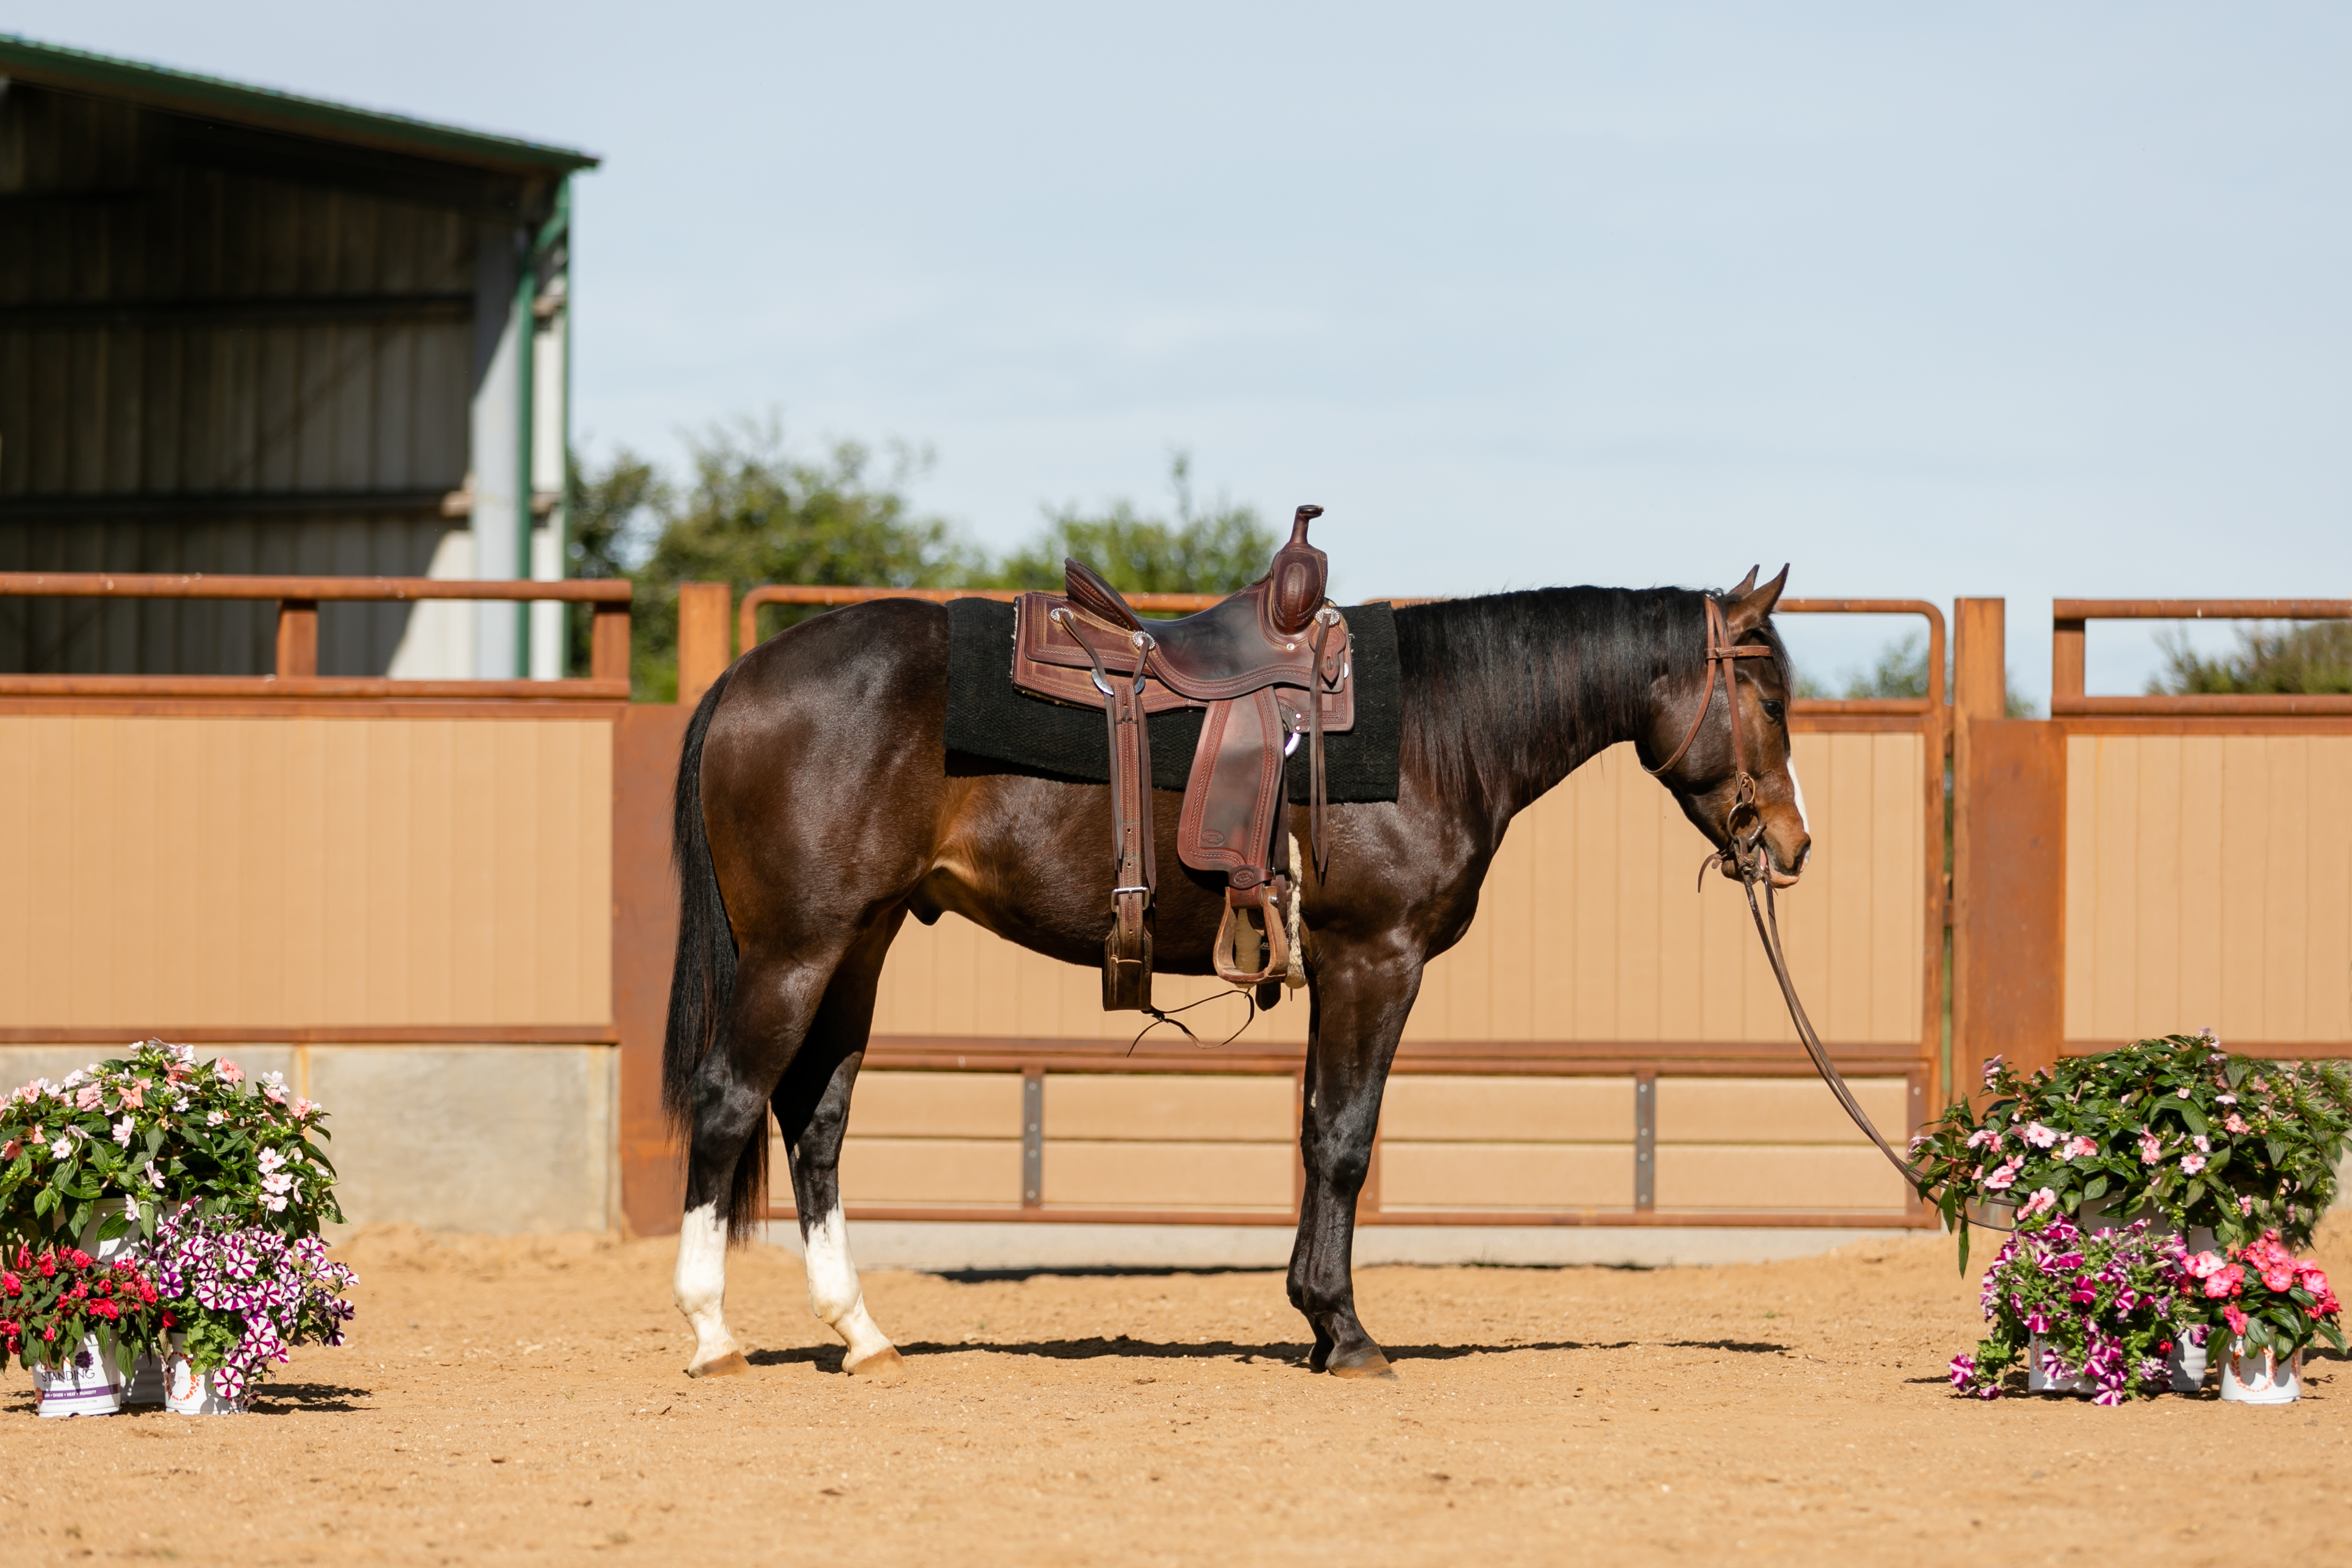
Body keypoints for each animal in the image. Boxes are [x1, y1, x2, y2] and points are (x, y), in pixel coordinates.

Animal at [663, 567, 1811, 1380]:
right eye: (1767, 699)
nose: (1790, 844)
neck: (1437, 727)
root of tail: (744, 678)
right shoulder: (1377, 958)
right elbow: (1345, 1139)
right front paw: (1345, 1332)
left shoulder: (1338, 966)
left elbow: (1312, 1131)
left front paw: (1316, 1317)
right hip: (795, 950)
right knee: (729, 1102)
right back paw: (713, 1333)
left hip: (858, 944)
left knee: (815, 1121)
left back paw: (862, 1332)